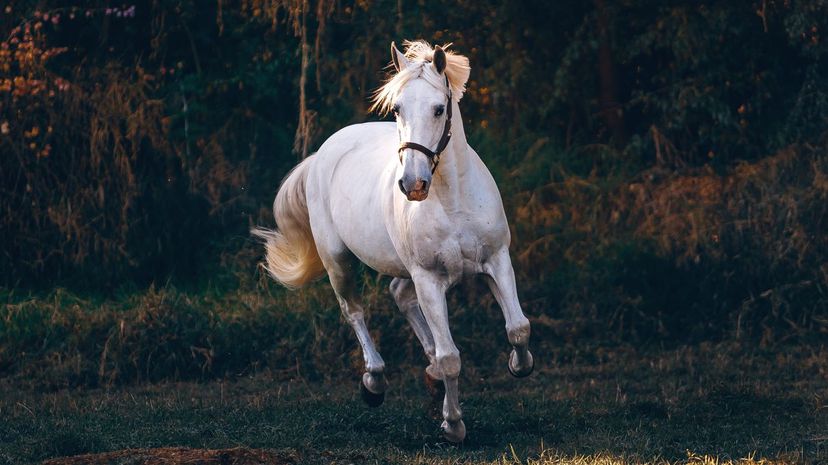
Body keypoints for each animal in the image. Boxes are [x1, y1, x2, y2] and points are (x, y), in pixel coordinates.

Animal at [253, 40, 534, 443]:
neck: (453, 200)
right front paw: (453, 425)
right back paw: (374, 382)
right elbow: (451, 357)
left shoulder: (497, 260)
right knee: (354, 311)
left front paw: (517, 365)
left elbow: (518, 328)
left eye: (439, 109)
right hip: (338, 260)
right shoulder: (428, 279)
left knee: (399, 295)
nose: (412, 184)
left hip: (403, 268)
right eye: (397, 108)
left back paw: (429, 375)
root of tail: (323, 153)